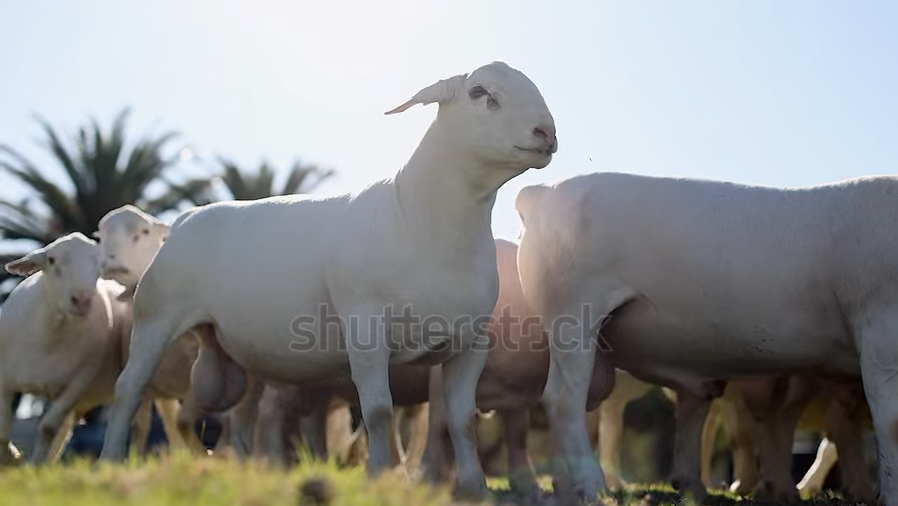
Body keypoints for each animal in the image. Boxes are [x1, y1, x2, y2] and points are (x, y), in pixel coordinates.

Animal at [0, 233, 151, 464]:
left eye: (99, 265)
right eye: (51, 260)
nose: (81, 300)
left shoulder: (78, 384)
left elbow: (47, 427)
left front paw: (34, 465)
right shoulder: (4, 381)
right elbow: (2, 433)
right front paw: (15, 460)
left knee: (145, 424)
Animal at [98, 60, 557, 500]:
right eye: (480, 92)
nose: (547, 133)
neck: (420, 215)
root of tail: (185, 220)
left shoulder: (471, 342)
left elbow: (463, 419)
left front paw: (475, 487)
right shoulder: (366, 330)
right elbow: (379, 411)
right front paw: (378, 477)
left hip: (234, 354)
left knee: (223, 414)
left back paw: (231, 470)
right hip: (156, 317)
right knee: (128, 389)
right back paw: (110, 460)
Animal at [515, 171, 898, 506]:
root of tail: (541, 193)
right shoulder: (881, 325)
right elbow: (890, 421)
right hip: (573, 312)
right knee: (564, 398)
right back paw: (595, 489)